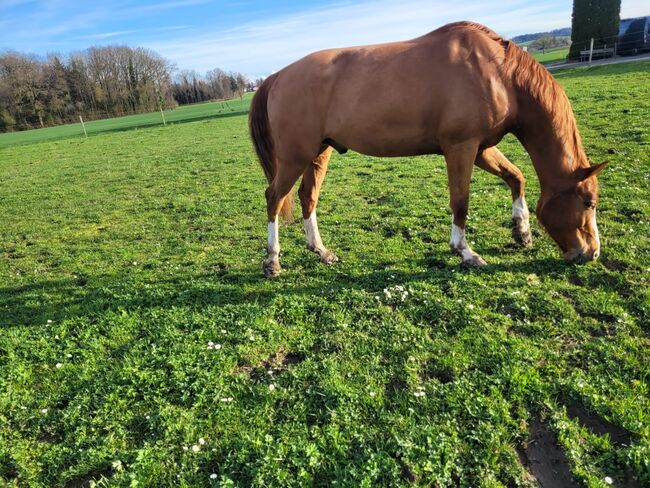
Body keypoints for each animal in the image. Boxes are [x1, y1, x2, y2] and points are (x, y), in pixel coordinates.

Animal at [247, 21, 604, 276]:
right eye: (589, 203)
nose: (591, 253)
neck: (498, 73)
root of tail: (277, 77)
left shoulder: (481, 148)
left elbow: (516, 177)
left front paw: (522, 232)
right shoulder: (461, 147)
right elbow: (461, 202)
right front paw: (466, 252)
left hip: (319, 153)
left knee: (307, 197)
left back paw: (321, 251)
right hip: (294, 157)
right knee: (274, 198)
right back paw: (273, 261)